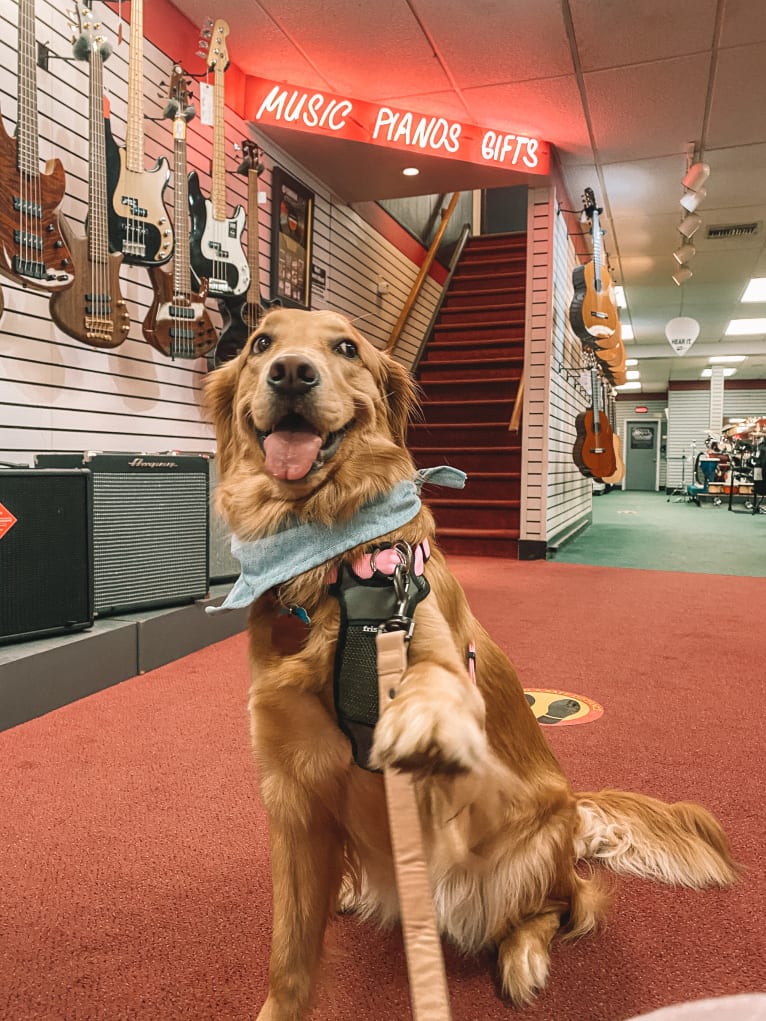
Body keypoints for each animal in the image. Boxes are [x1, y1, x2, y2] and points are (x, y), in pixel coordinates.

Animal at [204, 308, 739, 1021]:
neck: (333, 569)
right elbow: (289, 954)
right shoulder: (291, 794)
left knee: (566, 905)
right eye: (262, 344)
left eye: (346, 347)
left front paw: (424, 713)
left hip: (514, 859)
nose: (291, 371)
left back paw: (524, 956)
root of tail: (574, 811)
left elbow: (437, 680)